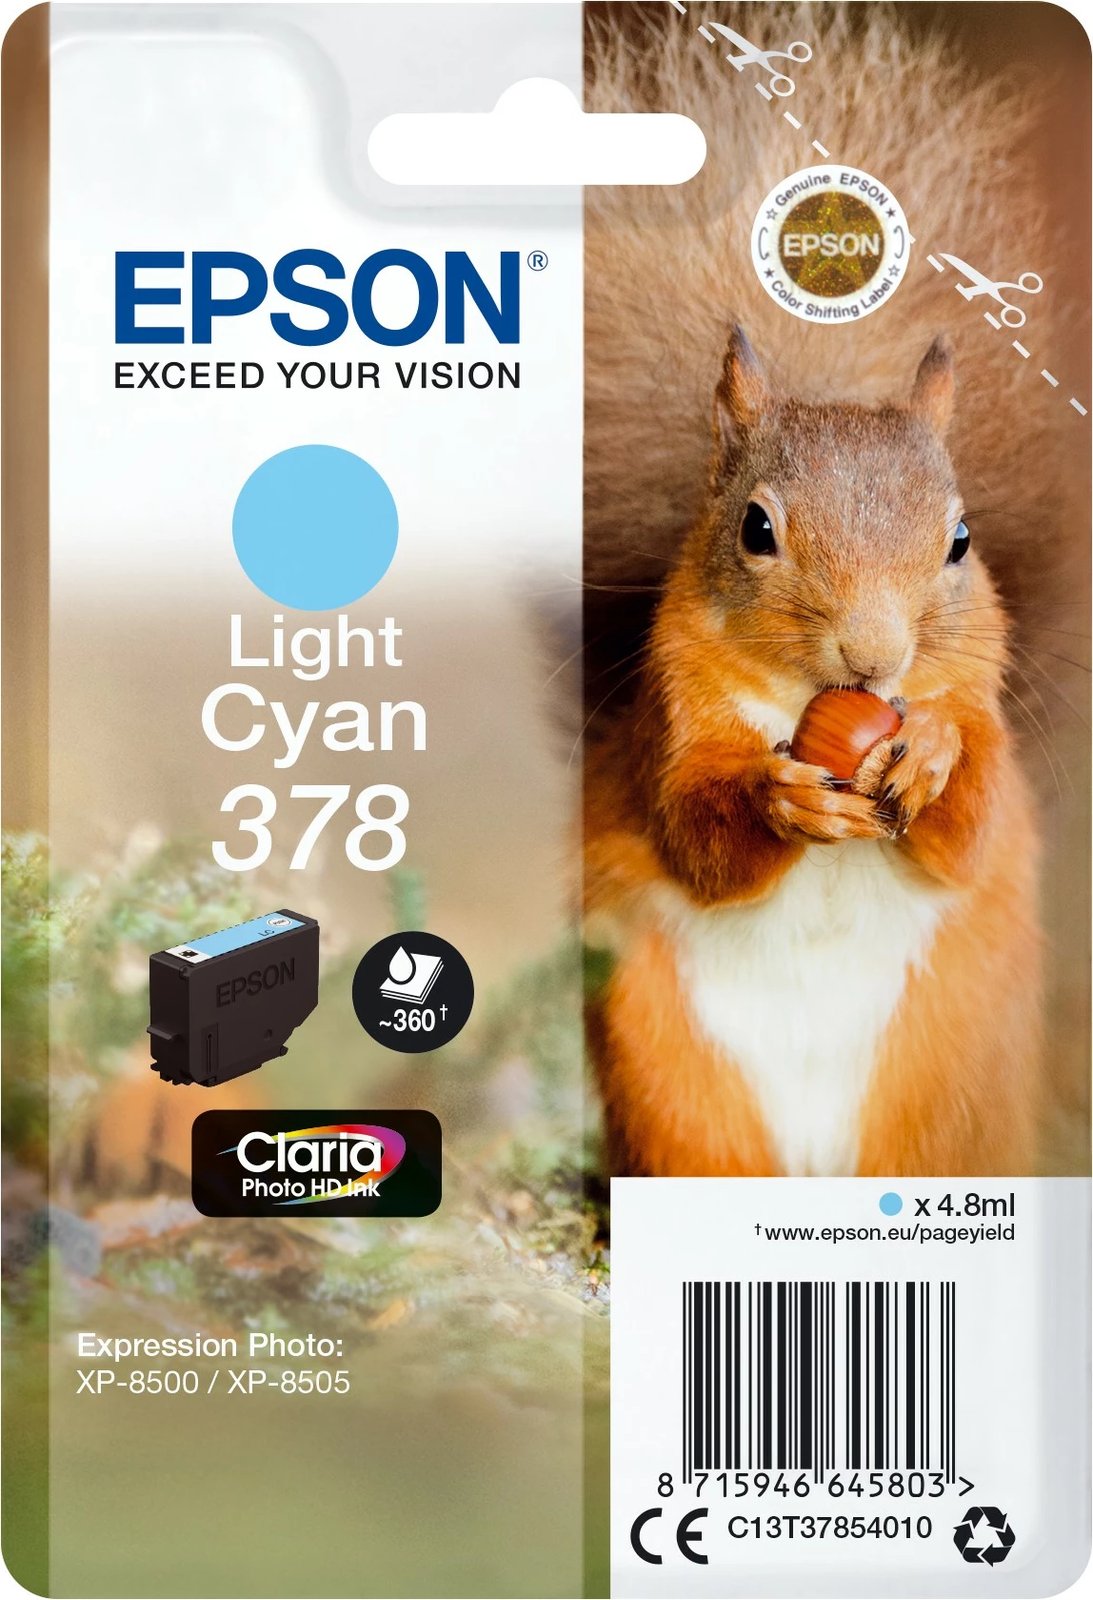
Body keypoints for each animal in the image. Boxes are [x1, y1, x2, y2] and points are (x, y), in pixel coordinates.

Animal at [580, 4, 1083, 1178]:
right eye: (755, 529)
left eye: (960, 539)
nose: (874, 657)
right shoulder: (673, 719)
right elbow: (695, 831)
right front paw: (783, 797)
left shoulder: (984, 710)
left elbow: (971, 823)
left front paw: (931, 752)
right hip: (670, 1079)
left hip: (949, 1086)